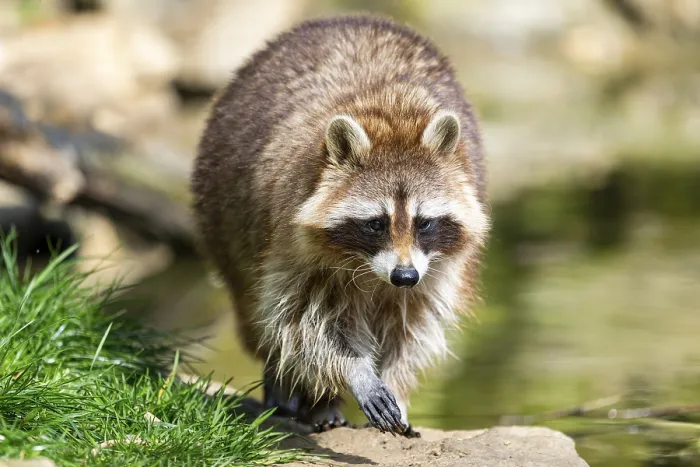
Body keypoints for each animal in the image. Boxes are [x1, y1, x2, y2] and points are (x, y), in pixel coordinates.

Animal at [191, 14, 489, 437]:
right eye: (376, 224)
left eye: (425, 223)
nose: (403, 276)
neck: (391, 115)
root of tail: (344, 17)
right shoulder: (290, 242)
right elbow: (303, 324)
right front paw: (355, 372)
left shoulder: (434, 269)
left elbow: (410, 328)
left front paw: (395, 382)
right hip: (222, 217)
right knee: (260, 314)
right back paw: (302, 393)